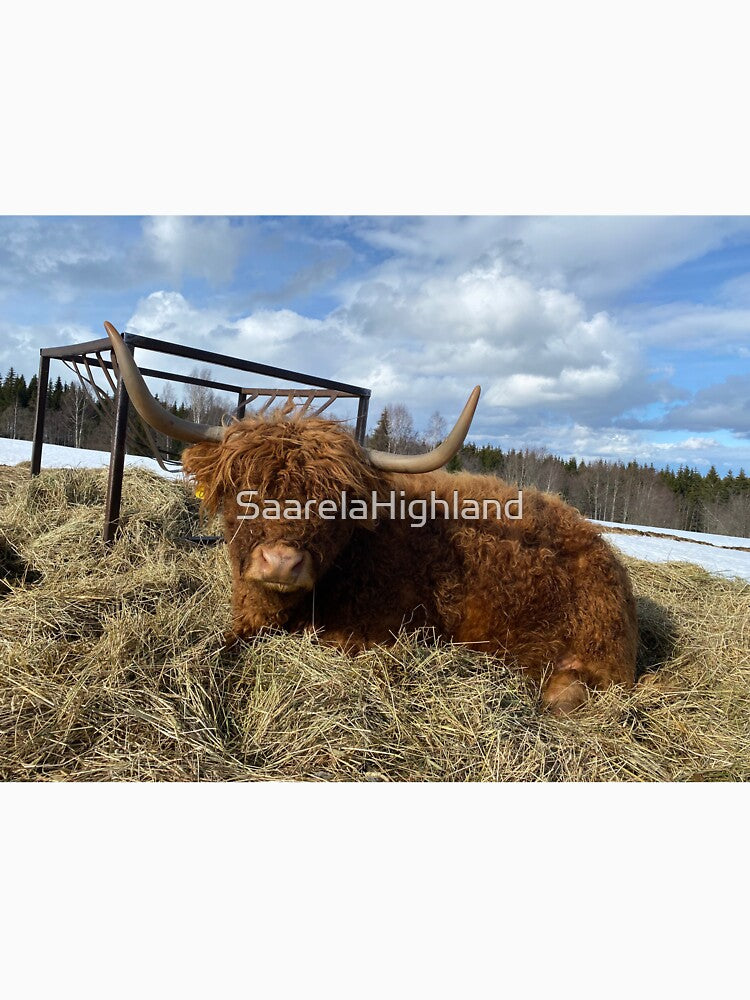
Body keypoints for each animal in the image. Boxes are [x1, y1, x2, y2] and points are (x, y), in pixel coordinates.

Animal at [104, 322, 638, 714]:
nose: (281, 563)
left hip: (587, 651)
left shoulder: (381, 631)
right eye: (245, 491)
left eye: (335, 502)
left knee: (570, 692)